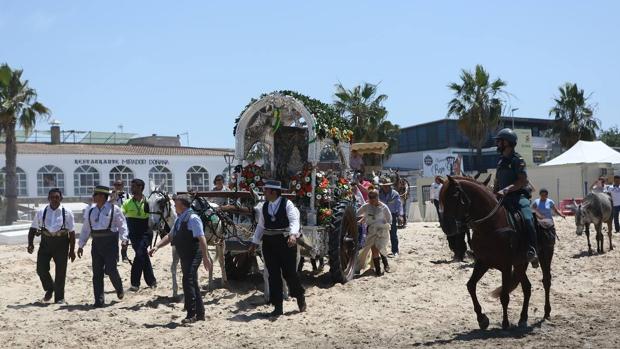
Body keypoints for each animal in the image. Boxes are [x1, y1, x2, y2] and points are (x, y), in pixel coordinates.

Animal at [438, 175, 556, 328]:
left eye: (453, 196)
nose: (447, 227)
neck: (490, 226)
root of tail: (544, 218)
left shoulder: (505, 266)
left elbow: (504, 296)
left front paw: (505, 323)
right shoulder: (482, 262)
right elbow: (470, 286)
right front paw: (482, 319)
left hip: (545, 255)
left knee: (546, 281)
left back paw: (546, 312)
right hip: (520, 264)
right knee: (527, 287)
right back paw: (523, 318)